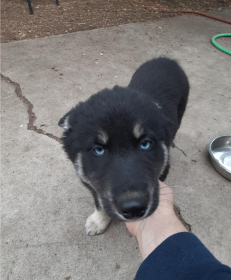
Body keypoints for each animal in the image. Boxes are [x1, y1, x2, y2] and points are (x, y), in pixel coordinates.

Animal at [59, 58, 189, 235]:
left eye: (145, 144)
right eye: (98, 150)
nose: (133, 208)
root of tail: (167, 59)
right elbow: (99, 201)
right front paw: (98, 221)